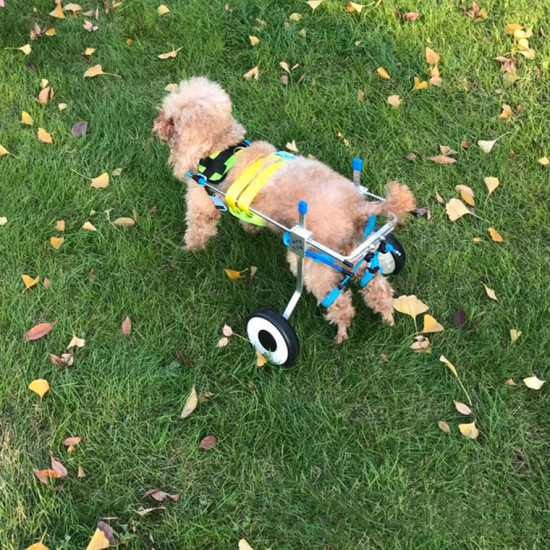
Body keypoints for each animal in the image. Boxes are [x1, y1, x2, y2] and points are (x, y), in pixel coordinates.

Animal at [153, 77, 416, 344]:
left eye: (172, 120)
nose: (156, 123)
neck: (223, 148)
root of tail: (358, 206)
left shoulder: (201, 202)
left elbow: (197, 229)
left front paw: (189, 249)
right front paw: (249, 228)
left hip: (313, 260)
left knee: (339, 302)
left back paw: (339, 332)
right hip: (355, 247)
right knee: (376, 284)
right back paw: (387, 315)